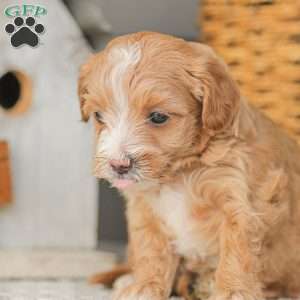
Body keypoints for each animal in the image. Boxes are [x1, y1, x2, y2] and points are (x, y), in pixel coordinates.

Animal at [78, 31, 300, 298]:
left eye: (158, 117)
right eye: (99, 116)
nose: (118, 165)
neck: (179, 173)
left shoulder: (241, 201)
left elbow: (237, 250)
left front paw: (233, 291)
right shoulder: (144, 210)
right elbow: (150, 249)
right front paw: (145, 286)